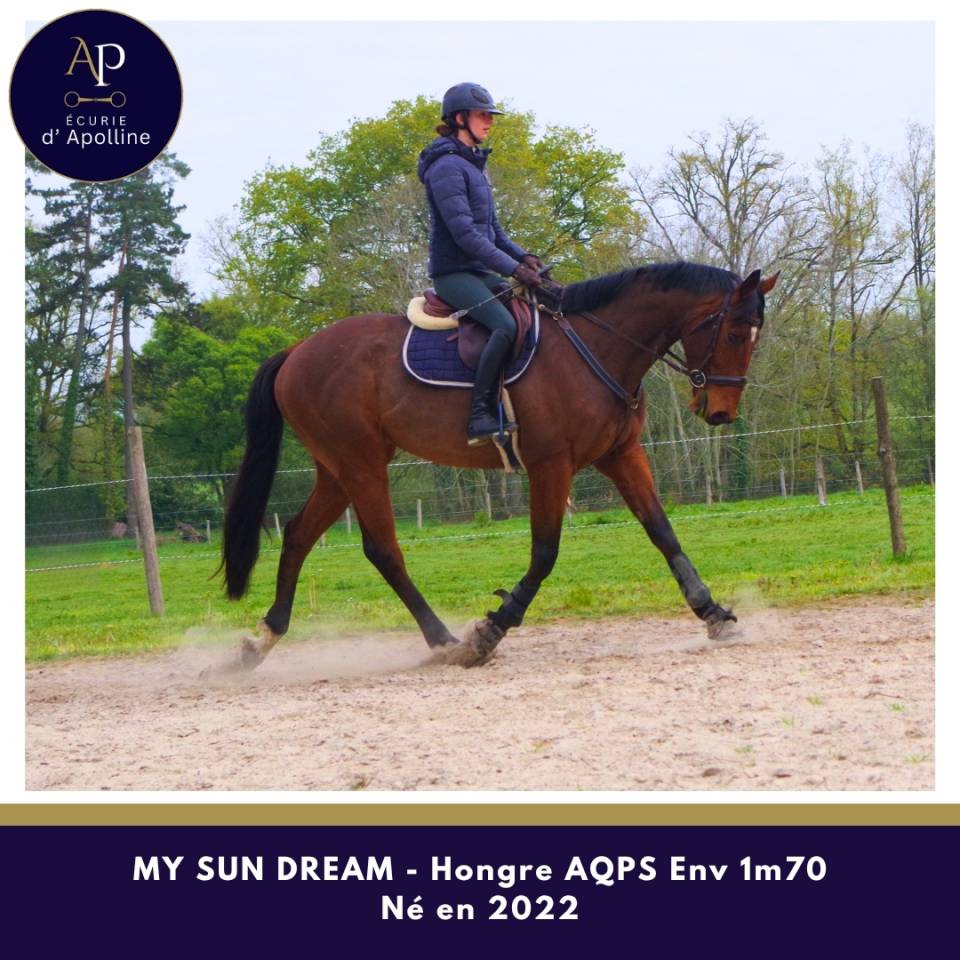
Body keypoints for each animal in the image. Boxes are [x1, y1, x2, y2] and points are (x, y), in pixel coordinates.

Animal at [220, 261, 778, 669]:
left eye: (754, 338)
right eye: (734, 334)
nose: (722, 413)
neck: (598, 346)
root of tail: (296, 351)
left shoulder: (621, 455)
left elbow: (663, 533)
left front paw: (713, 613)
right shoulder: (552, 465)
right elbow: (545, 553)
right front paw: (492, 628)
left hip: (339, 469)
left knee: (297, 535)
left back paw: (262, 640)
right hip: (360, 463)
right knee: (382, 550)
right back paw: (447, 642)